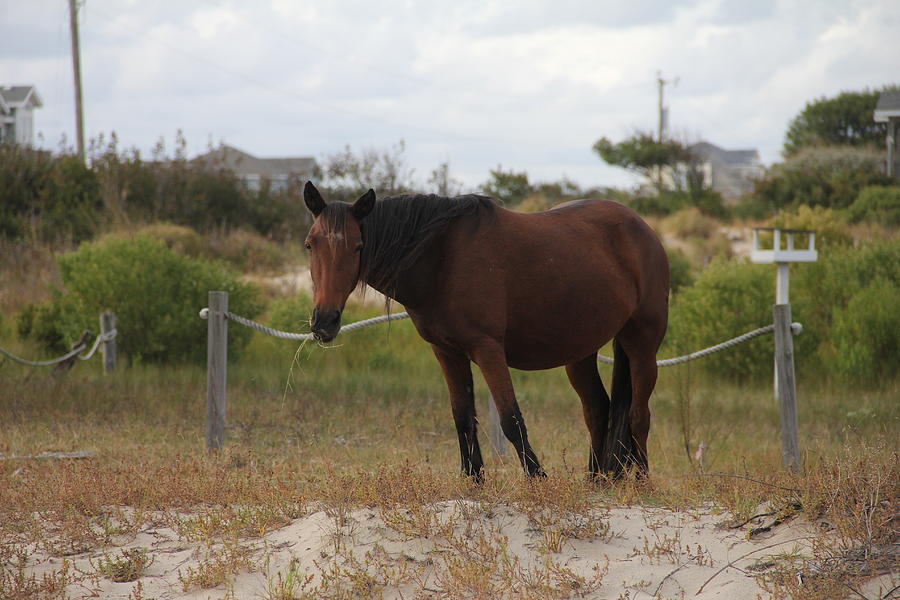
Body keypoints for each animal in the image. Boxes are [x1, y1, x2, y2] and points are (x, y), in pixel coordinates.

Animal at [302, 180, 668, 480]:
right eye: (310, 244)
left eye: (358, 246)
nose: (325, 321)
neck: (442, 257)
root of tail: (643, 228)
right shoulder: (447, 352)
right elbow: (463, 417)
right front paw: (473, 480)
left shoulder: (487, 349)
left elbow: (511, 419)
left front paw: (538, 480)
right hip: (579, 352)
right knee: (597, 409)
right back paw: (596, 481)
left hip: (642, 344)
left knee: (638, 414)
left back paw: (642, 481)